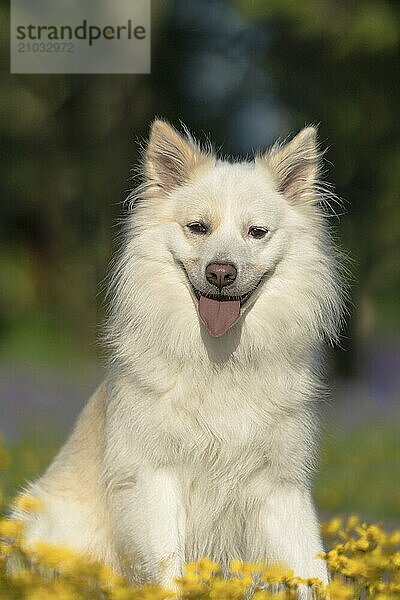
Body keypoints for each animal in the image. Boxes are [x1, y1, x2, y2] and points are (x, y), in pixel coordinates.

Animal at [14, 120, 344, 592]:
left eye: (256, 232)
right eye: (198, 227)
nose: (220, 273)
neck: (222, 360)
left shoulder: (280, 488)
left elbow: (311, 572)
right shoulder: (154, 480)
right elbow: (167, 572)